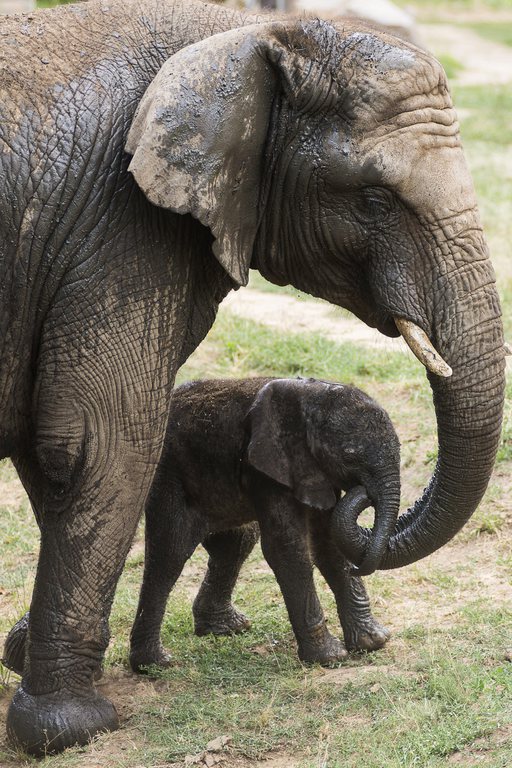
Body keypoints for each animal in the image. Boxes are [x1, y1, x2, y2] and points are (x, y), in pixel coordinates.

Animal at [130, 378, 402, 672]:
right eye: (349, 456)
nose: (365, 493)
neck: (309, 396)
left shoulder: (312, 470)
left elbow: (329, 543)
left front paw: (373, 642)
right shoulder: (265, 470)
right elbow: (287, 549)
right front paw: (329, 657)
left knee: (236, 543)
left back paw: (227, 627)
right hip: (166, 474)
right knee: (169, 554)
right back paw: (154, 664)